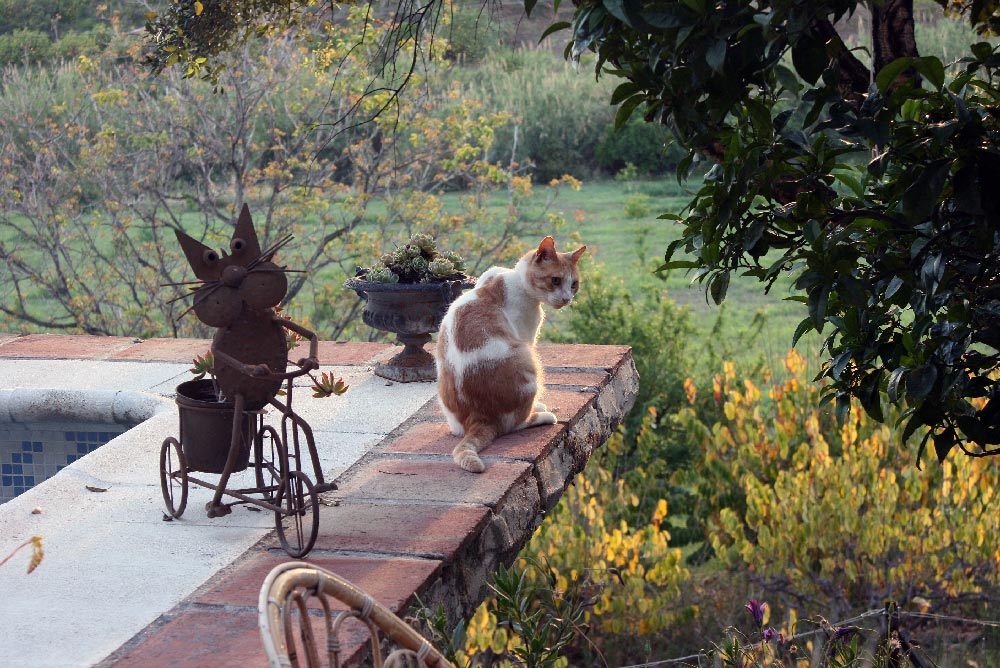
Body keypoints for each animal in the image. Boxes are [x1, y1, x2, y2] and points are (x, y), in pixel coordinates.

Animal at [436, 237, 584, 472]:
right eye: (555, 280)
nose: (566, 299)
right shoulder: (527, 336)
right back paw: (542, 413)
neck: (514, 280)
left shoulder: (491, 273)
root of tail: (479, 417)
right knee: (515, 423)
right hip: (527, 360)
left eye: (574, 284)